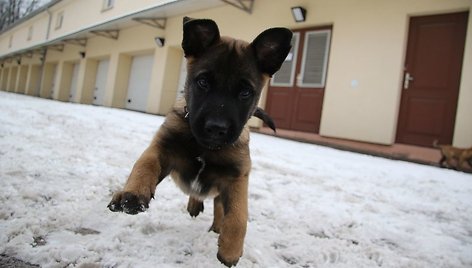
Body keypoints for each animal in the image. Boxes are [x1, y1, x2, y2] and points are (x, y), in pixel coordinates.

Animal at [108, 17, 292, 266]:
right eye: (203, 82)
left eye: (245, 92)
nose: (216, 128)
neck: (206, 147)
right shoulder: (162, 149)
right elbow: (144, 165)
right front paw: (133, 194)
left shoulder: (237, 177)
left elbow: (238, 216)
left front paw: (230, 249)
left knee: (218, 206)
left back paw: (216, 225)